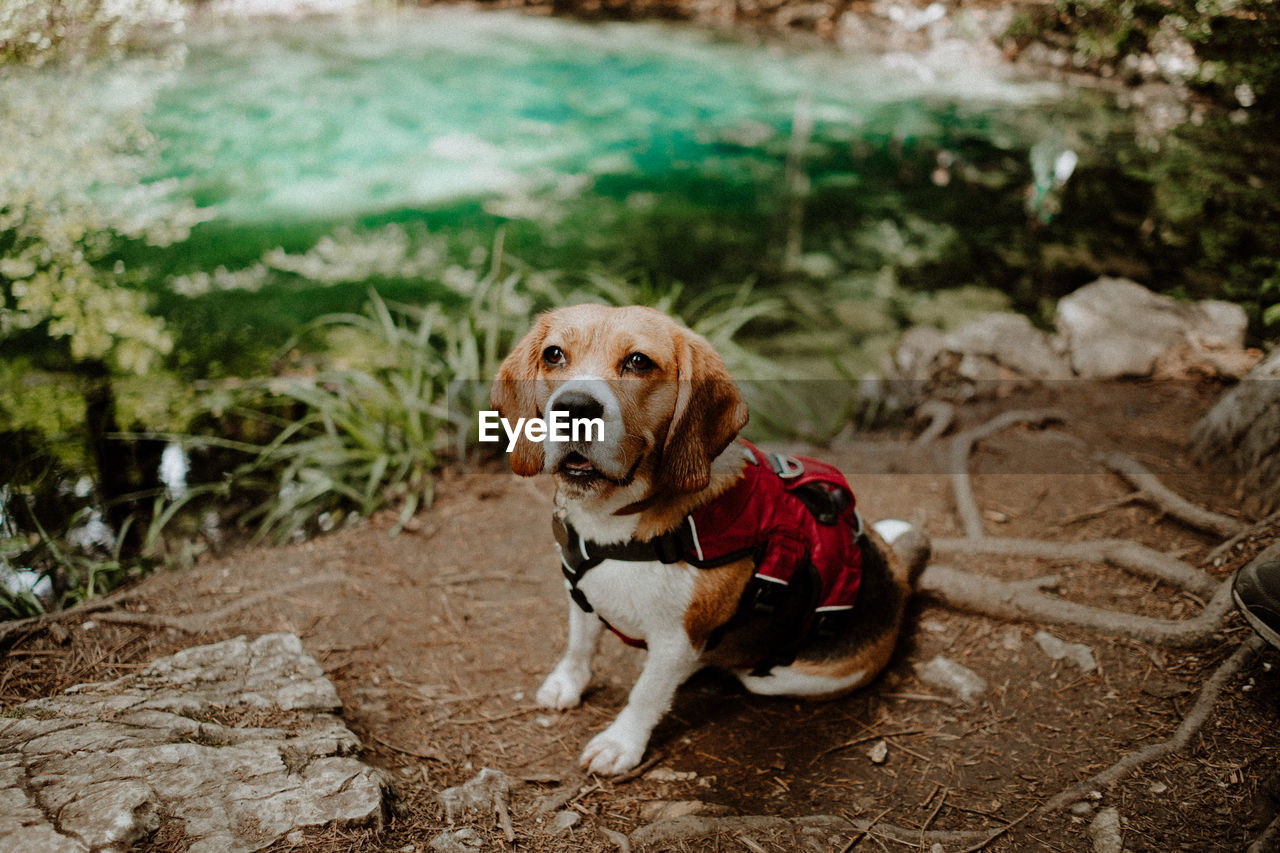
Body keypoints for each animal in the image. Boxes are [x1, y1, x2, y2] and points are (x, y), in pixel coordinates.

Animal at [491, 302, 931, 773]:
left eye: (639, 362)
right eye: (554, 355)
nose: (573, 408)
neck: (615, 523)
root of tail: (899, 575)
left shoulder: (676, 639)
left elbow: (645, 693)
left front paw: (621, 743)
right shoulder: (581, 594)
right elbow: (579, 644)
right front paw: (566, 683)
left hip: (782, 675)